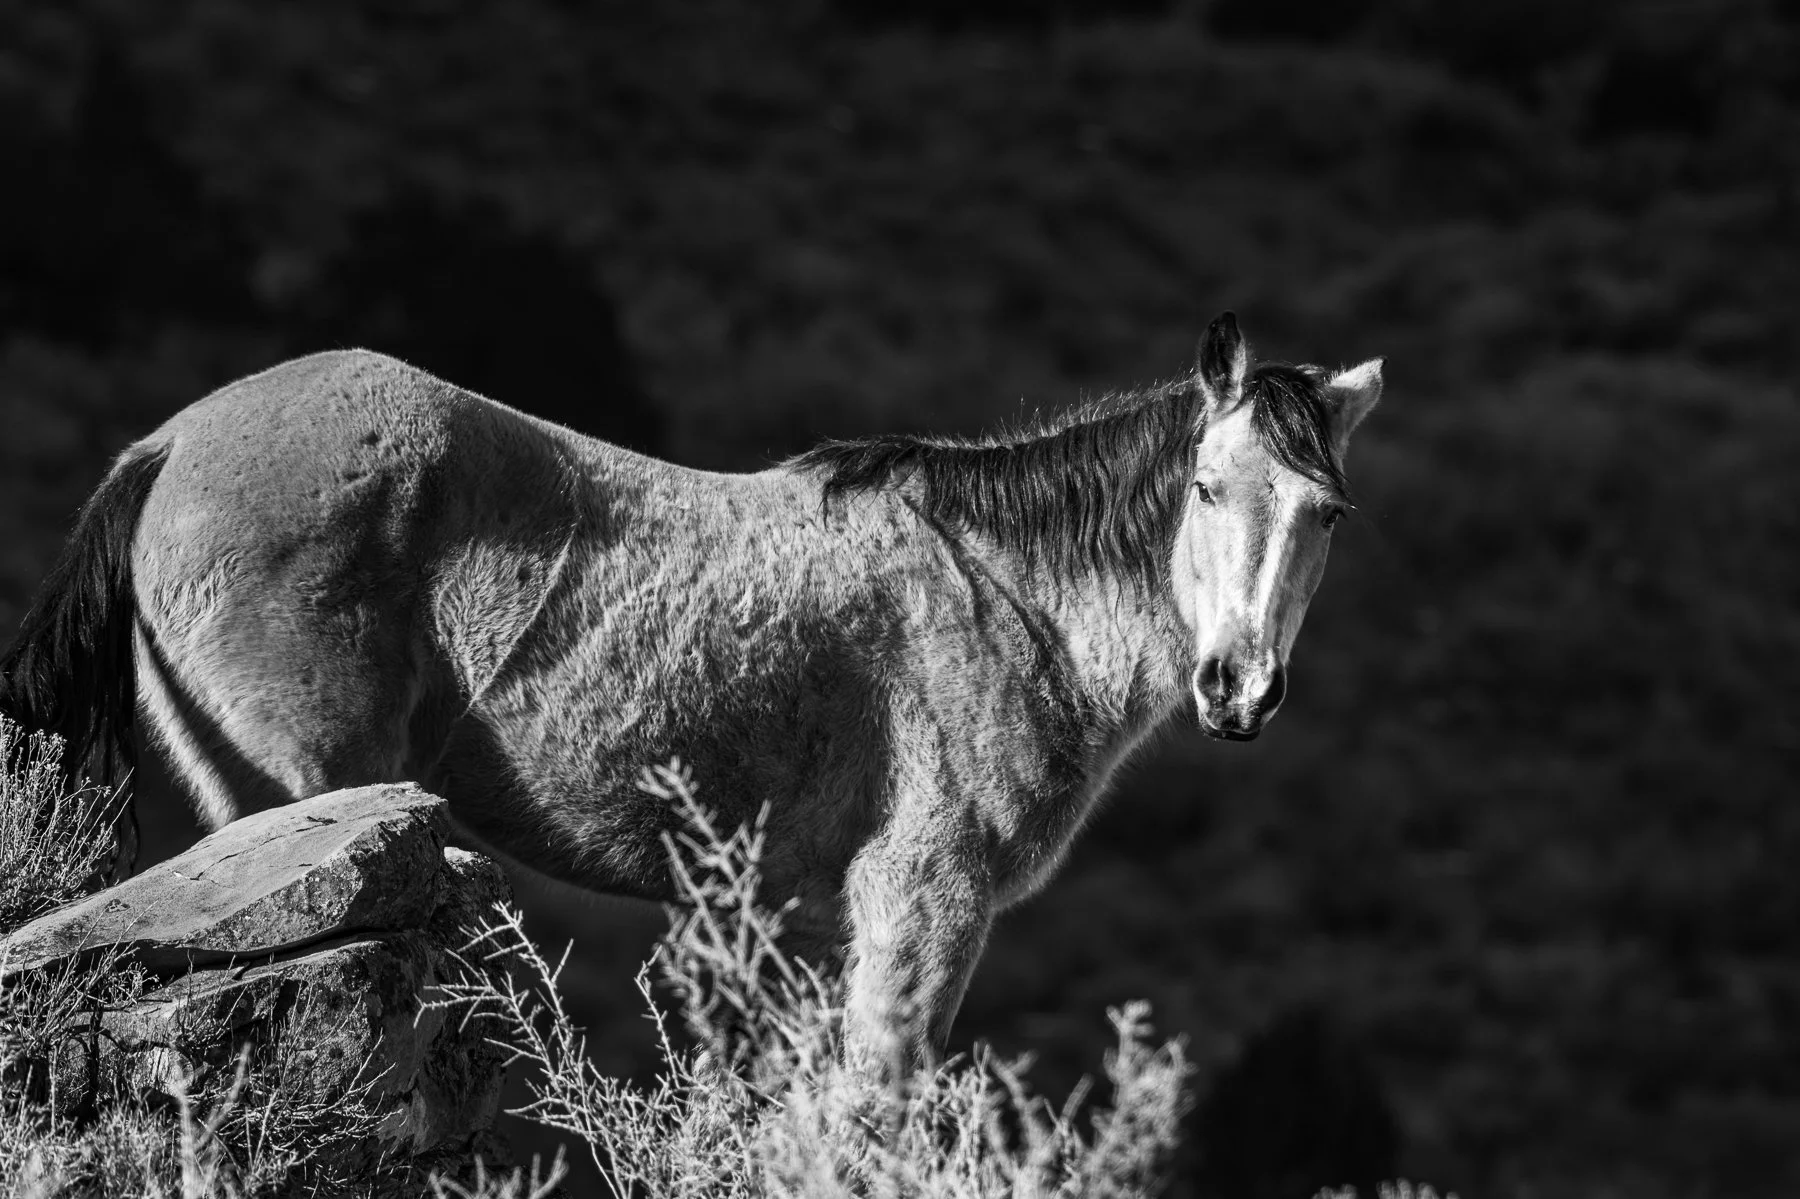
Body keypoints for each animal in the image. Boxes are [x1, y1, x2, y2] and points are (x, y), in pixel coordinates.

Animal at [0, 312, 1382, 1071]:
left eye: (1326, 510)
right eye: (1204, 485)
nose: (1237, 685)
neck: (997, 587)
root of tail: (165, 446)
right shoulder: (925, 895)